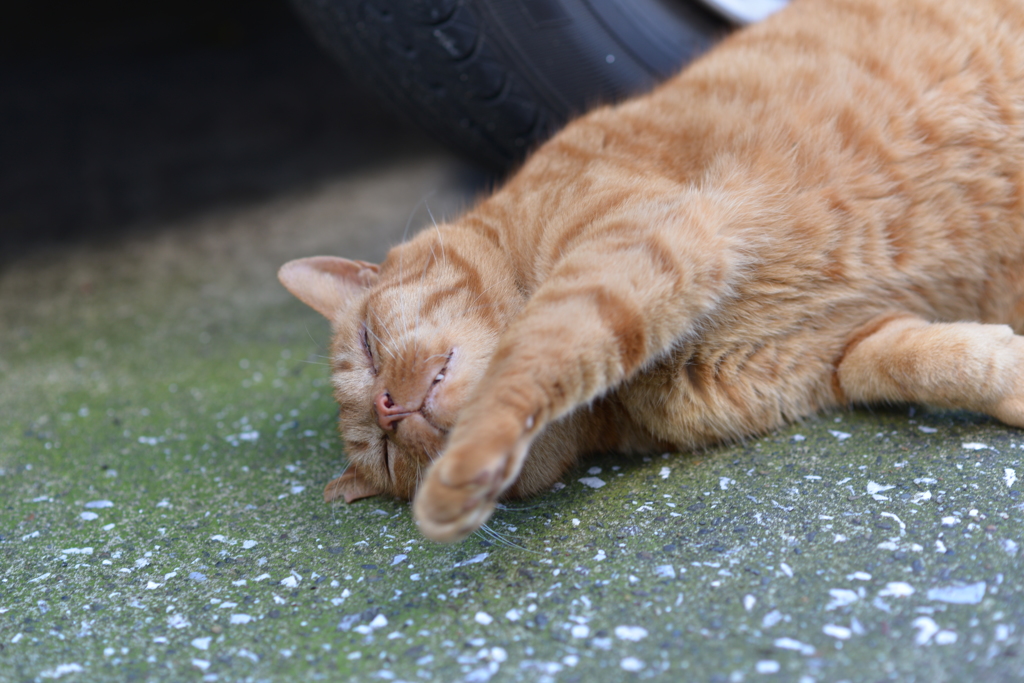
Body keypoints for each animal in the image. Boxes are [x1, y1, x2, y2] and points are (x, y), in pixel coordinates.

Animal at [276, 1, 1024, 544]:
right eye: (385, 452)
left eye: (368, 346)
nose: (387, 407)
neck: (624, 397)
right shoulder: (838, 353)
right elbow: (925, 363)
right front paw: (1009, 377)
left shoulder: (638, 241)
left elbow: (529, 359)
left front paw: (461, 475)